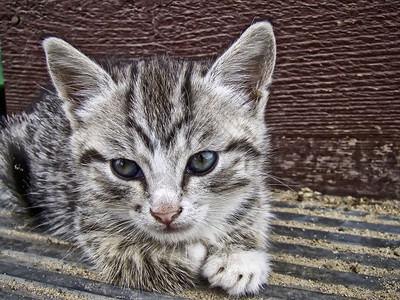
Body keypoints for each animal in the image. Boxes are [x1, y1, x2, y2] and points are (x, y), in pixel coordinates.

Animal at [0, 22, 276, 296]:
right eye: (123, 167)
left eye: (202, 161)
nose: (165, 213)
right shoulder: (88, 213)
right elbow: (123, 252)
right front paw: (185, 251)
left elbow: (254, 206)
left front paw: (240, 256)